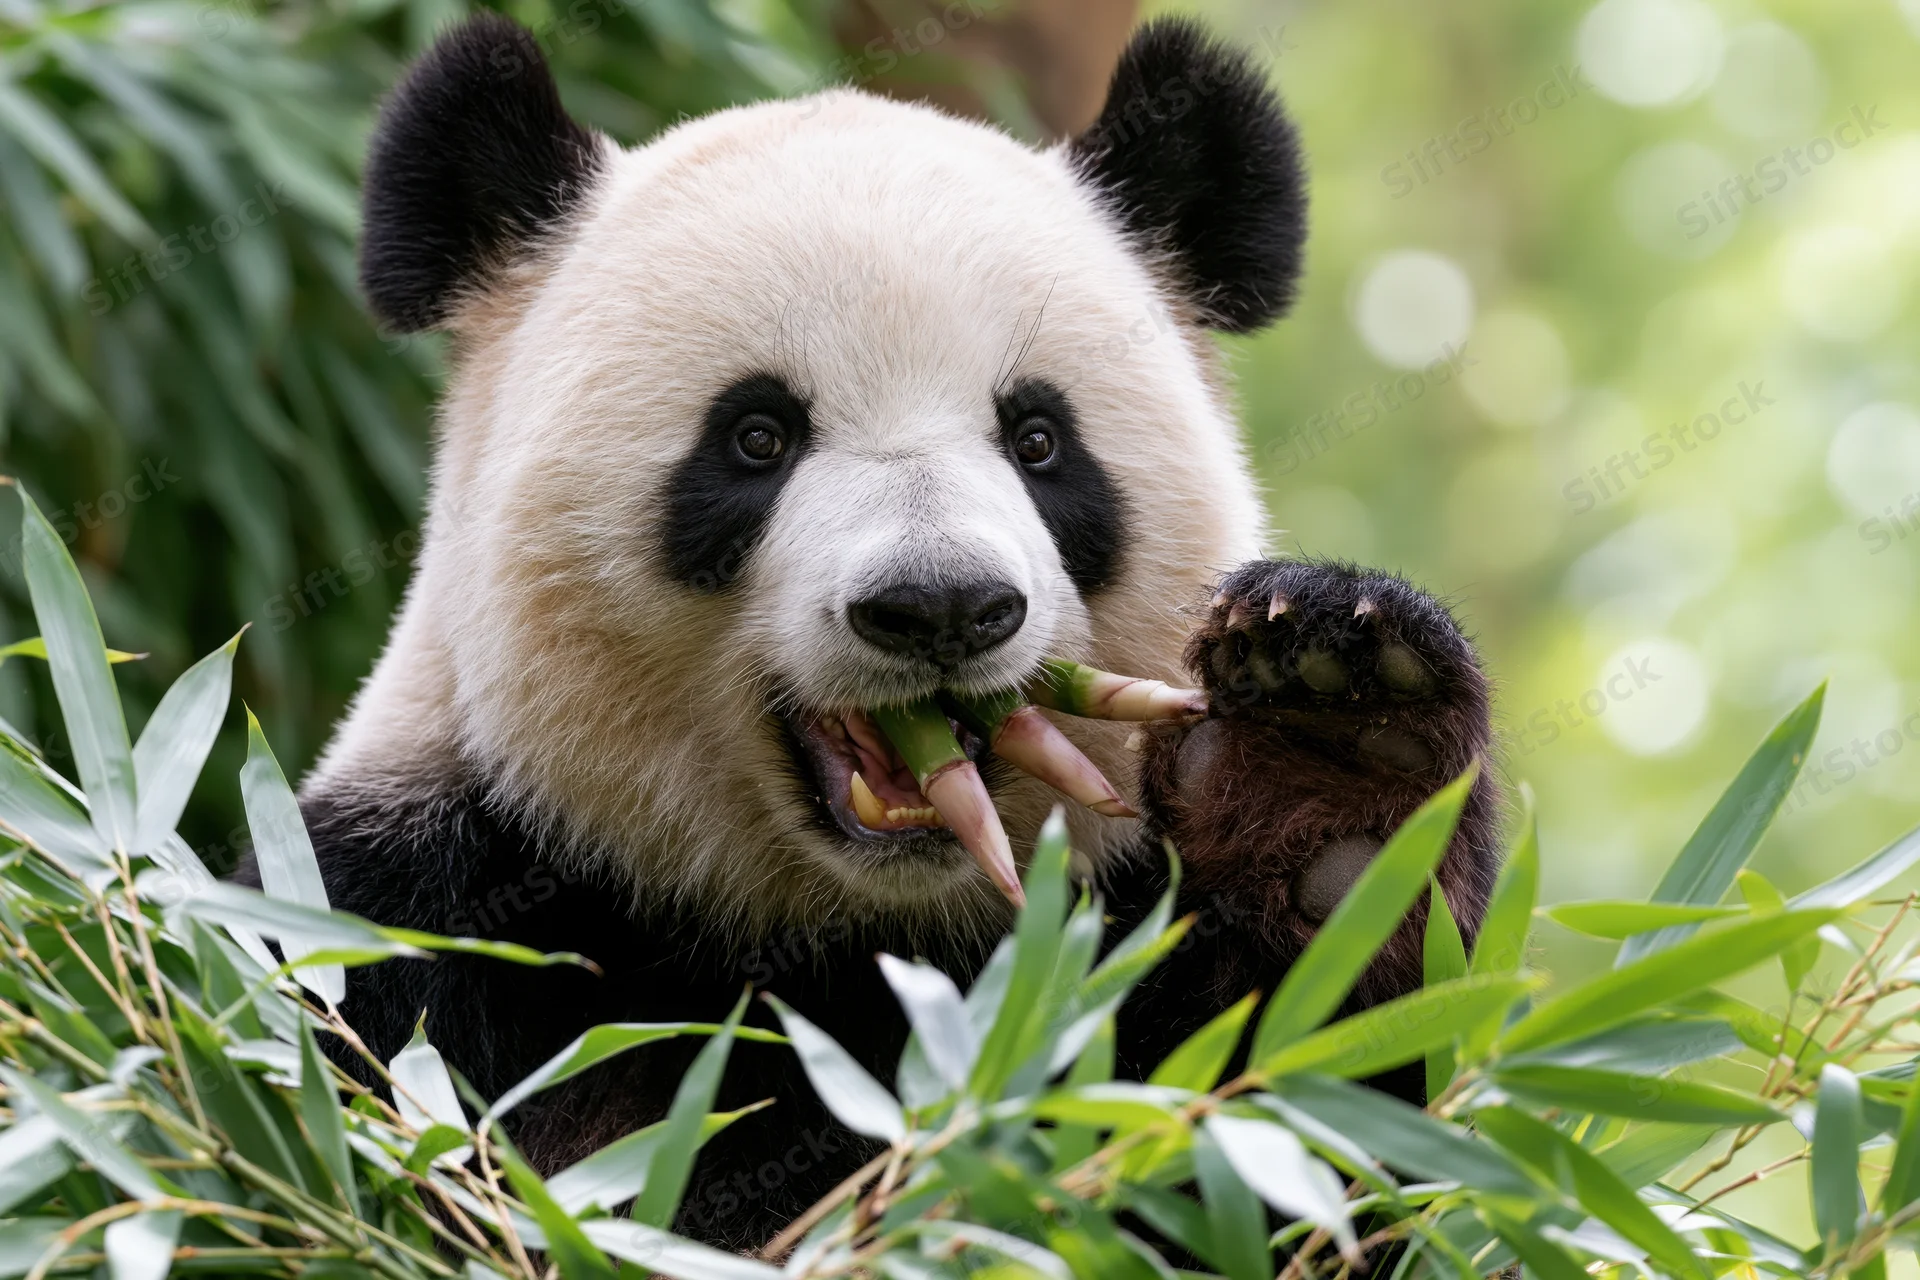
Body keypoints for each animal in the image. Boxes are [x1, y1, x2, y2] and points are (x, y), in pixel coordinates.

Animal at [251, 11, 1502, 1250]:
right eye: (757, 435)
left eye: (1038, 438)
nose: (940, 604)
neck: (862, 940)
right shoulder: (405, 921)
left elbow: (1307, 1131)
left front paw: (1332, 754)